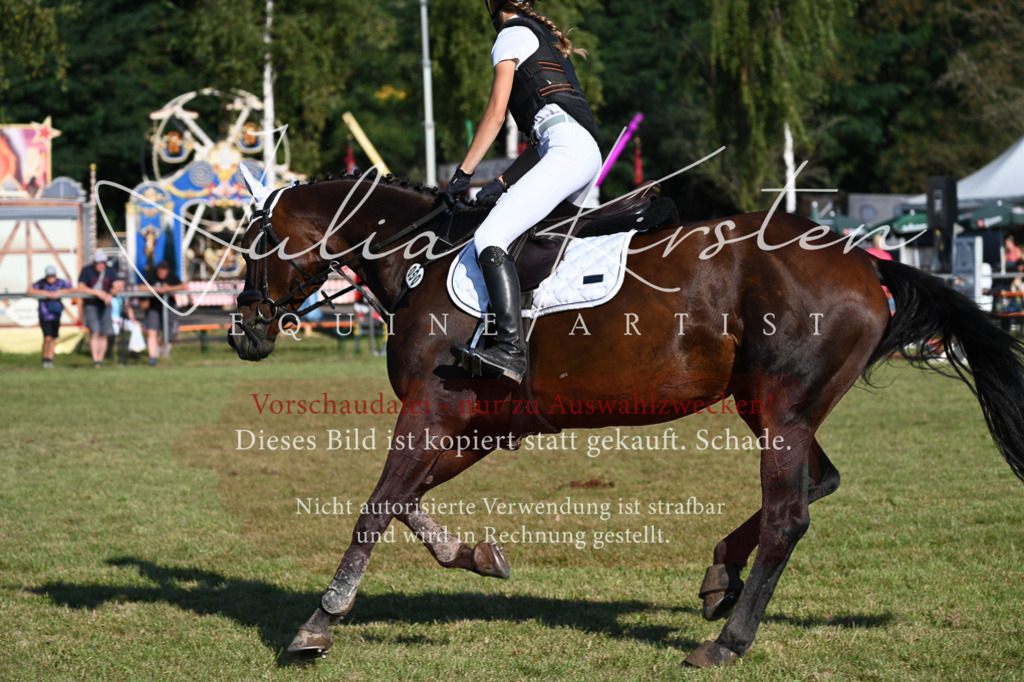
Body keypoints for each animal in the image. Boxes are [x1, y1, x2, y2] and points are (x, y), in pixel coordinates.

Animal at [228, 170, 1024, 668]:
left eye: (252, 246)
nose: (244, 334)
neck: (421, 259)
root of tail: (865, 261)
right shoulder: (478, 424)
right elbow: (407, 502)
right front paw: (474, 555)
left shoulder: (431, 410)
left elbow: (377, 505)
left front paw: (318, 623)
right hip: (768, 405)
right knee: (815, 484)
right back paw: (720, 575)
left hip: (781, 407)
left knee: (789, 514)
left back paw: (727, 641)